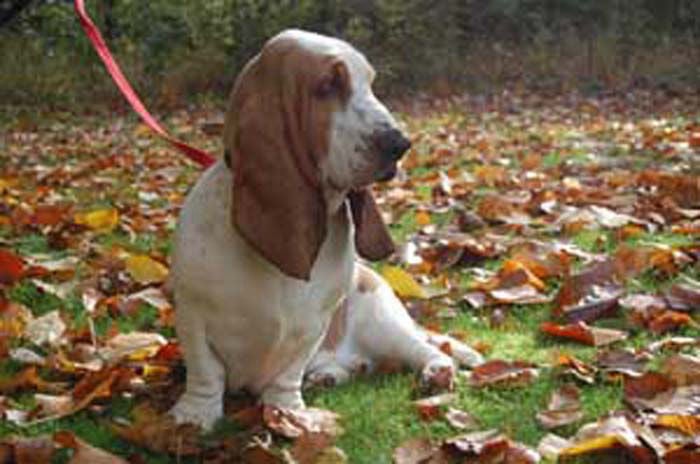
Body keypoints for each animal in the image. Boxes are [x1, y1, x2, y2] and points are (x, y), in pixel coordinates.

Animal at [169, 29, 483, 430]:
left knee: (423, 349)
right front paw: (194, 416)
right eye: (327, 85)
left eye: (370, 83)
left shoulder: (312, 326)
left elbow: (288, 372)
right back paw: (328, 375)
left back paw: (435, 373)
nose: (400, 144)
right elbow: (205, 372)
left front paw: (285, 411)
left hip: (382, 320)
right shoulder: (192, 314)